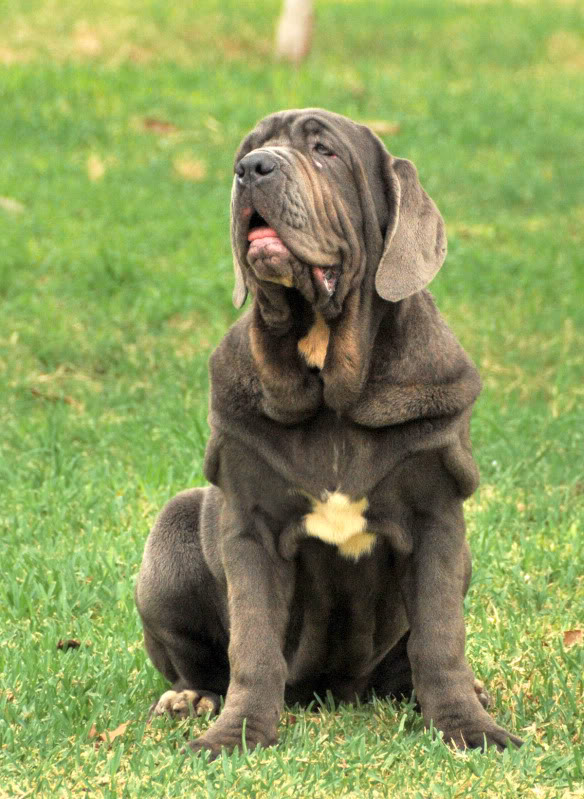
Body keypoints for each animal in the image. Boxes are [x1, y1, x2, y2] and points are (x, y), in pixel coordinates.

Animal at [135, 109, 524, 760]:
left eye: (325, 152)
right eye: (249, 148)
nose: (252, 168)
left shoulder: (438, 519)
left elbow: (439, 637)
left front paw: (469, 729)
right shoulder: (250, 526)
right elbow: (254, 644)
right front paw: (236, 736)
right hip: (170, 540)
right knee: (201, 659)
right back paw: (192, 698)